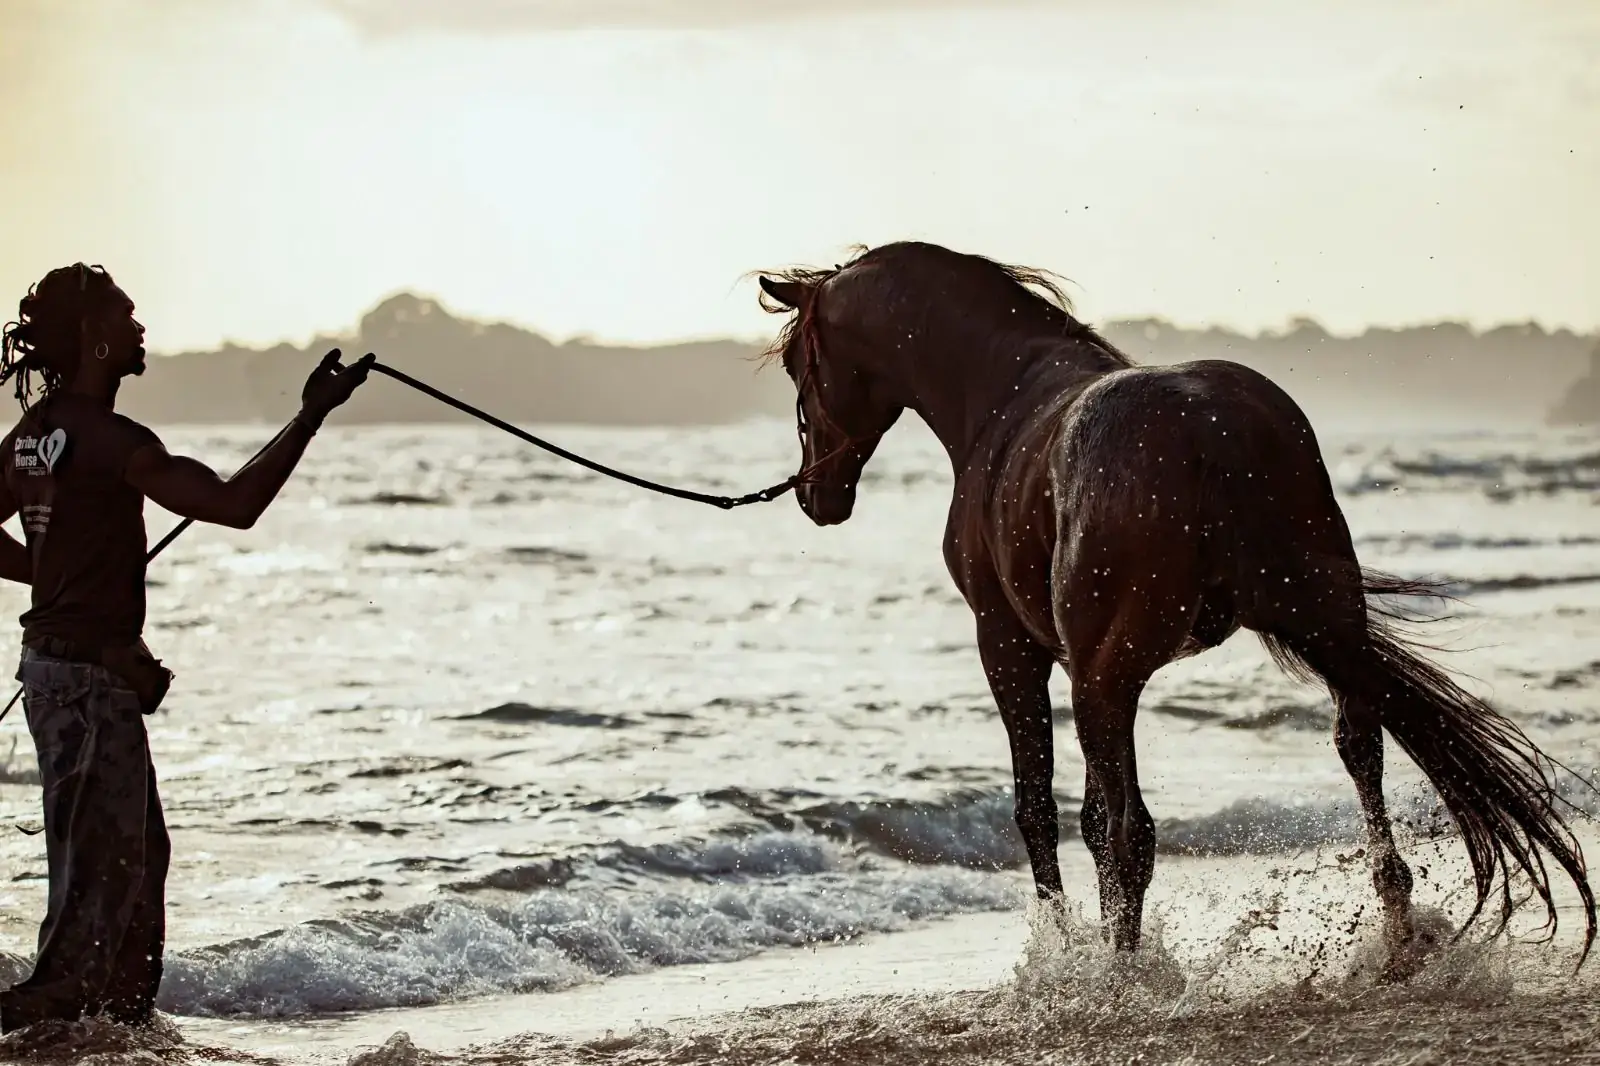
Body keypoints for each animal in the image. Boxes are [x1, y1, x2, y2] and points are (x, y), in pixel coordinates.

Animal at [753, 240, 1595, 977]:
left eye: (799, 364)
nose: (816, 495)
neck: (1002, 395)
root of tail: (1208, 427)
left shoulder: (1010, 649)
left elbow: (1040, 809)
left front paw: (1058, 955)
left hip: (1108, 679)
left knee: (1129, 828)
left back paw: (1123, 973)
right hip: (1329, 631)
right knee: (1359, 749)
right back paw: (1394, 932)